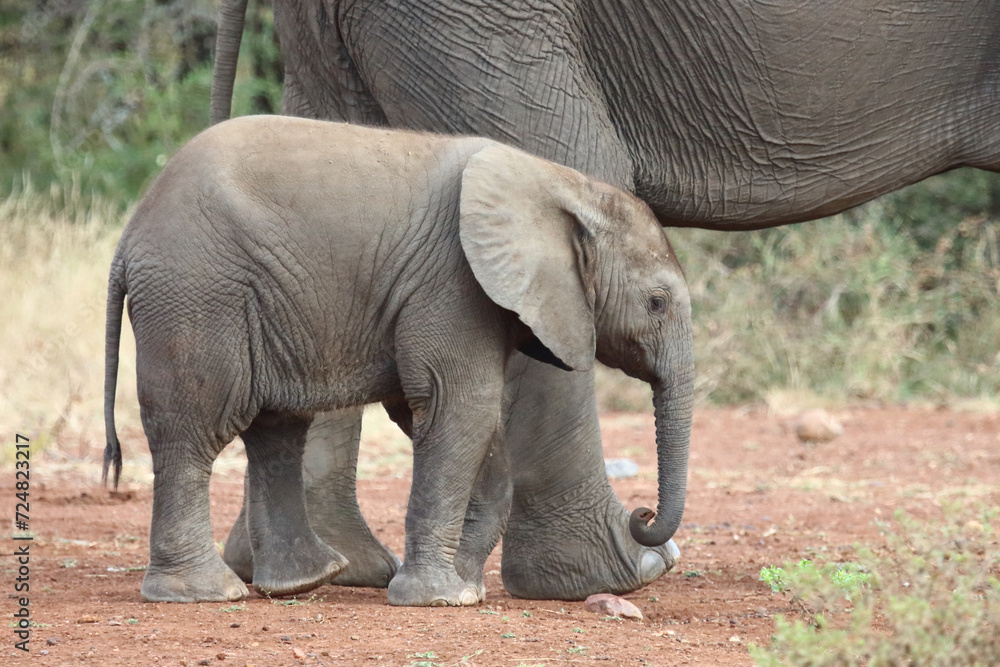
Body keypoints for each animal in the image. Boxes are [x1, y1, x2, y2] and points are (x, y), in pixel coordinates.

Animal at [103, 115, 695, 605]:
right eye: (656, 303)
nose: (642, 515)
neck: (561, 185)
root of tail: (128, 238)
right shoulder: (452, 283)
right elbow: (461, 407)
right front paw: (440, 599)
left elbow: (469, 424)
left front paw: (466, 588)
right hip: (196, 294)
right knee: (195, 429)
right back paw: (206, 593)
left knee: (276, 430)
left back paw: (302, 582)